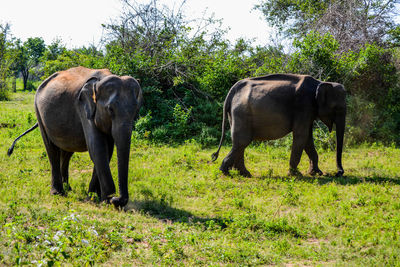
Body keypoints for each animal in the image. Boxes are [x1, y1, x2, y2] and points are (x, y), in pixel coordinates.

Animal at [7, 66, 143, 208]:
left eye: (136, 110)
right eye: (110, 109)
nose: (116, 199)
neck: (98, 83)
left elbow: (107, 150)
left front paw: (94, 196)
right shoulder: (84, 107)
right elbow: (97, 147)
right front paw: (105, 199)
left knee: (67, 151)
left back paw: (68, 188)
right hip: (38, 111)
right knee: (51, 149)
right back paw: (58, 193)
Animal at [211, 73, 346, 178]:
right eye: (337, 108)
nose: (338, 173)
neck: (320, 83)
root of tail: (232, 90)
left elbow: (307, 138)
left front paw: (316, 173)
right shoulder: (303, 106)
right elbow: (301, 135)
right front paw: (296, 175)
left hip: (235, 114)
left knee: (240, 143)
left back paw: (244, 174)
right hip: (241, 113)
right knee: (242, 141)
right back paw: (225, 173)